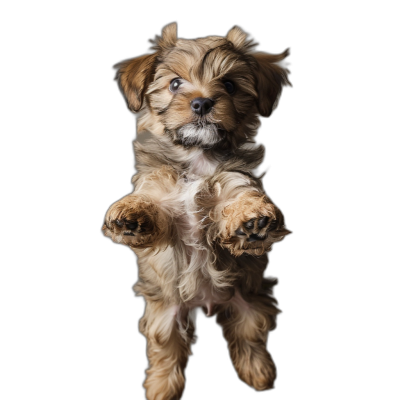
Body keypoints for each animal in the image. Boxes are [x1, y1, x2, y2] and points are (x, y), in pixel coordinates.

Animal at [102, 23, 290, 398]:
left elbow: (238, 196)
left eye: (229, 85)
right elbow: (152, 201)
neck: (198, 156)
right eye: (175, 84)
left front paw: (251, 218)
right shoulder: (163, 195)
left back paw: (259, 374)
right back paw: (160, 388)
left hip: (250, 304)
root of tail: (206, 303)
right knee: (166, 350)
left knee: (249, 339)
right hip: (165, 313)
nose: (202, 102)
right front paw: (130, 212)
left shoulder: (234, 178)